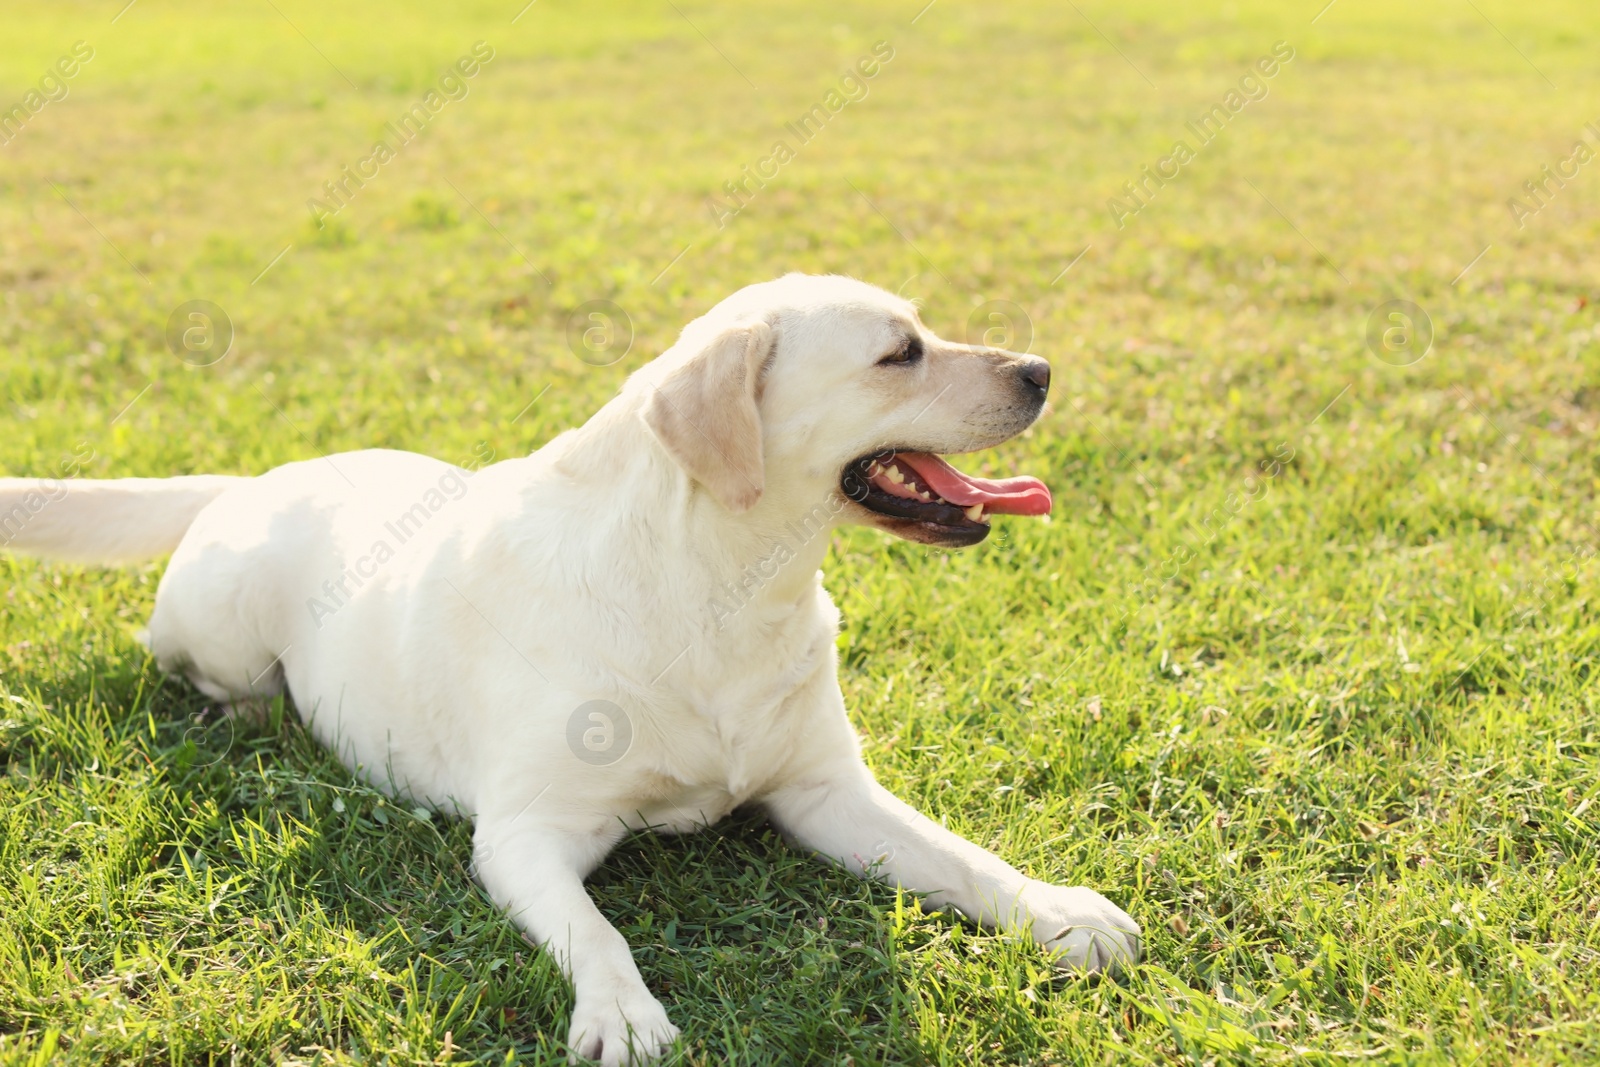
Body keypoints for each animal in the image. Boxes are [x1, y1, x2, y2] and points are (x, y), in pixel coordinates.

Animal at [6, 278, 1145, 1067]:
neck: (724, 588)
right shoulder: (525, 835)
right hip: (226, 624)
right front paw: (622, 1011)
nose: (1042, 369)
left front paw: (1060, 910)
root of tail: (252, 477)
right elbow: (596, 932)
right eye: (897, 353)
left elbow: (963, 856)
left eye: (923, 331)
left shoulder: (827, 792)